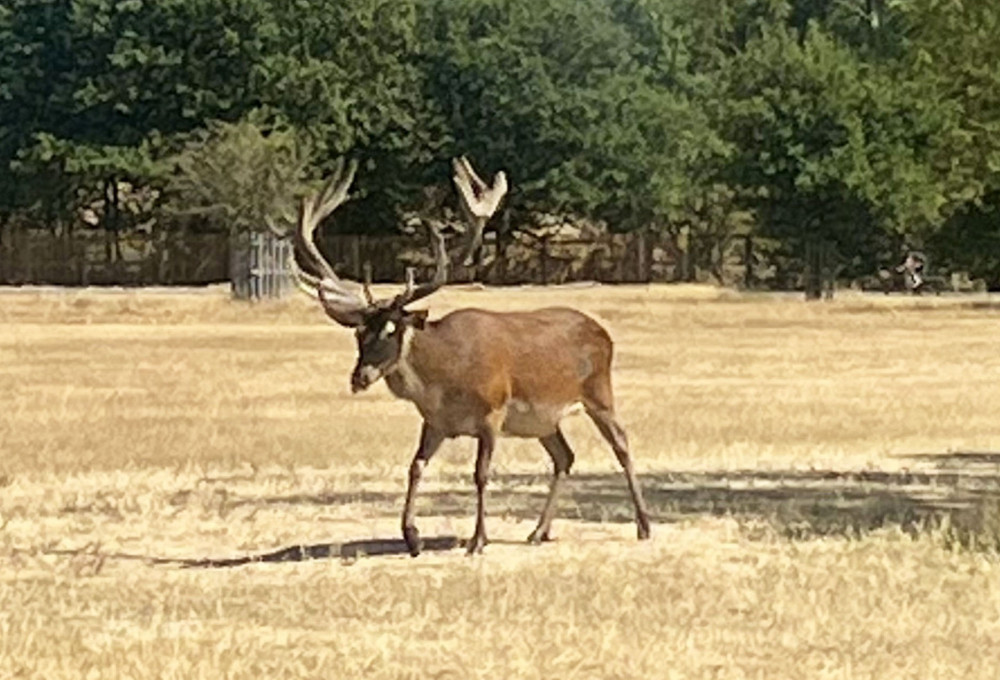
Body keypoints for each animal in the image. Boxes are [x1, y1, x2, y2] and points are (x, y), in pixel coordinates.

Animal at [288, 156, 652, 556]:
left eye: (392, 330)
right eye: (358, 333)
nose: (360, 377)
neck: (445, 380)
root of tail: (603, 333)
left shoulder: (493, 411)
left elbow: (480, 474)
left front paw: (477, 539)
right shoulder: (434, 422)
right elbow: (415, 467)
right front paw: (411, 535)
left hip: (598, 392)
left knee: (622, 444)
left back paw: (644, 525)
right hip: (543, 420)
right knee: (564, 456)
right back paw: (538, 531)